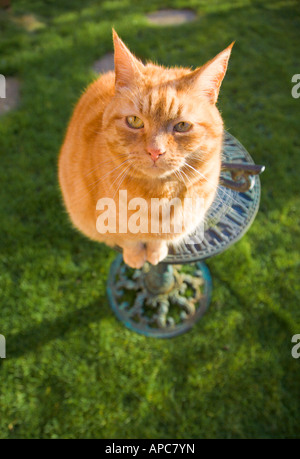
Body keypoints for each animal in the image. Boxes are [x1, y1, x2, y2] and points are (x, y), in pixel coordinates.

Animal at [58, 31, 232, 270]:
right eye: (134, 121)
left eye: (182, 126)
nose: (155, 151)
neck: (158, 196)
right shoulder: (110, 223)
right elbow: (129, 240)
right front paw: (135, 257)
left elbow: (159, 240)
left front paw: (156, 252)